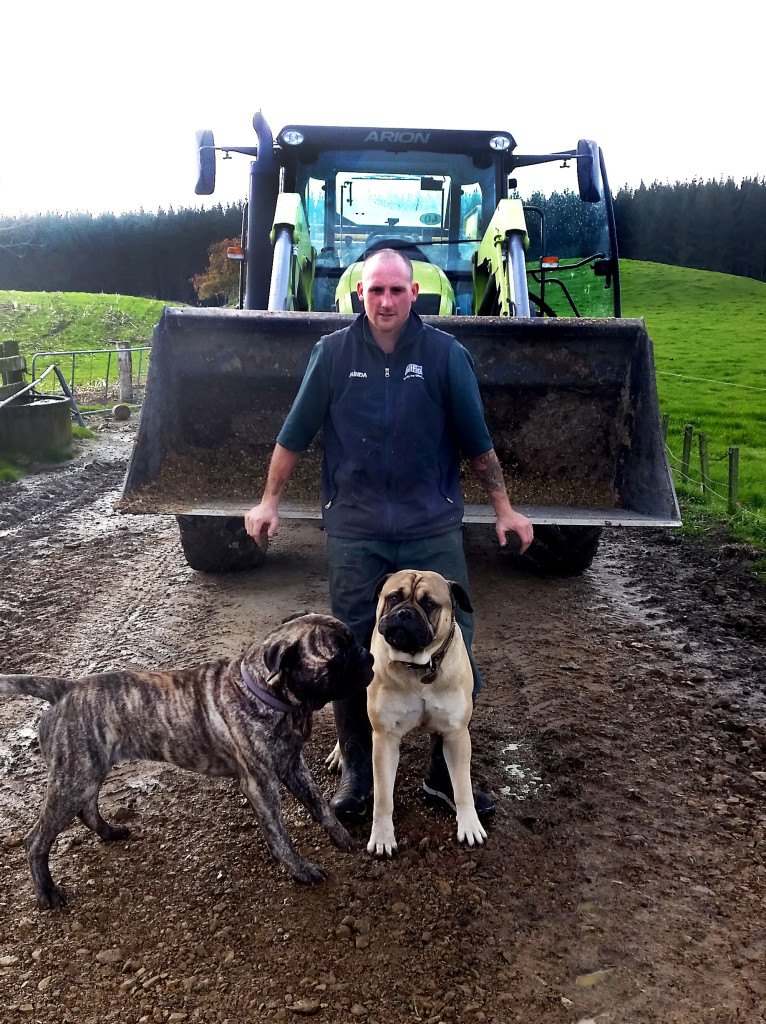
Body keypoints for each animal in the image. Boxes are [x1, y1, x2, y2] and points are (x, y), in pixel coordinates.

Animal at [0, 610, 374, 909]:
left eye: (353, 643)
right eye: (336, 658)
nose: (367, 655)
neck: (266, 694)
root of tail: (64, 690)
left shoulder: (293, 765)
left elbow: (320, 806)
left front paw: (342, 838)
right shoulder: (261, 785)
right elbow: (280, 836)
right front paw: (300, 869)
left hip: (87, 772)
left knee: (87, 807)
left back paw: (109, 832)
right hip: (73, 779)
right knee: (37, 840)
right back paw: (47, 893)